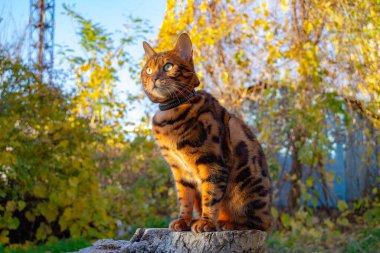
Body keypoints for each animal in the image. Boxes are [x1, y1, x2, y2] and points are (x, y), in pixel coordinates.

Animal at [141, 33, 272, 233]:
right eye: (148, 70)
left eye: (168, 66)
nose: (154, 77)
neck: (170, 113)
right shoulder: (179, 169)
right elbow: (184, 198)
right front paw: (183, 220)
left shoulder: (212, 160)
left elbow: (210, 196)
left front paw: (206, 223)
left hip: (247, 189)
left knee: (259, 224)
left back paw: (225, 224)